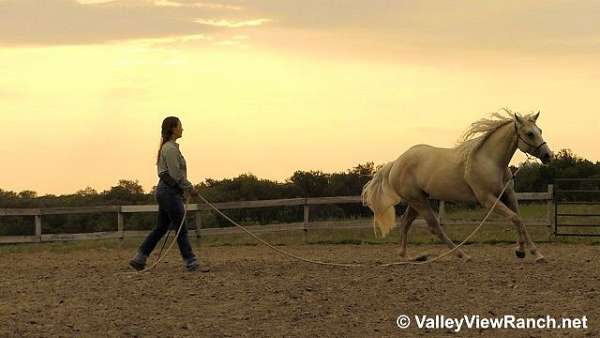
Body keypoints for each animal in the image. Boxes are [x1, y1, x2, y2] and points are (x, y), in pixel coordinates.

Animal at [360, 109, 552, 262]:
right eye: (529, 133)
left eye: (540, 130)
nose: (548, 155)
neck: (489, 161)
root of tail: (396, 163)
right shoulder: (487, 200)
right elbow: (515, 218)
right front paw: (526, 252)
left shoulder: (508, 195)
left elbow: (519, 220)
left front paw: (531, 252)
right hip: (419, 202)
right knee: (435, 228)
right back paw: (462, 255)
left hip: (417, 201)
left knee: (405, 223)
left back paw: (408, 257)